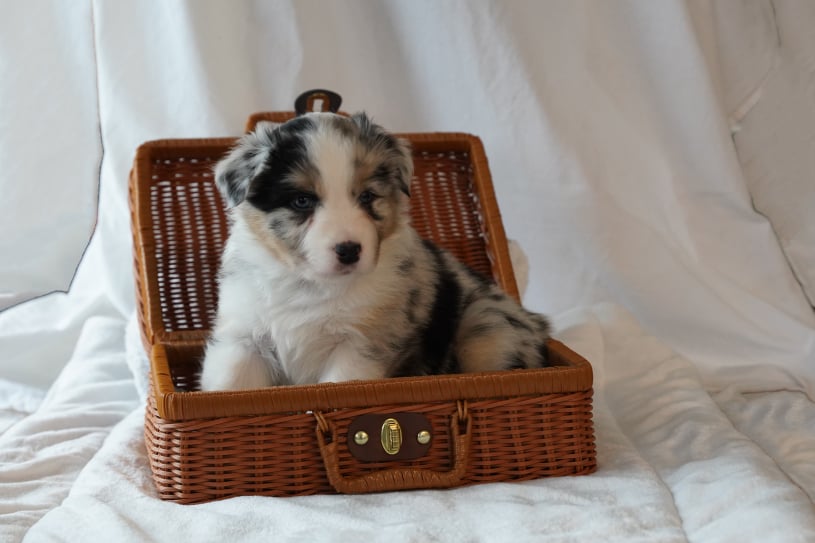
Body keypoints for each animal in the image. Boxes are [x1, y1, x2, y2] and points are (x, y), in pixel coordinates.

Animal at [199, 112, 551, 390]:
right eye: (302, 201)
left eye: (367, 197)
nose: (349, 251)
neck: (309, 283)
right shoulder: (243, 338)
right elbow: (230, 383)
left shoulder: (361, 345)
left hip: (488, 326)